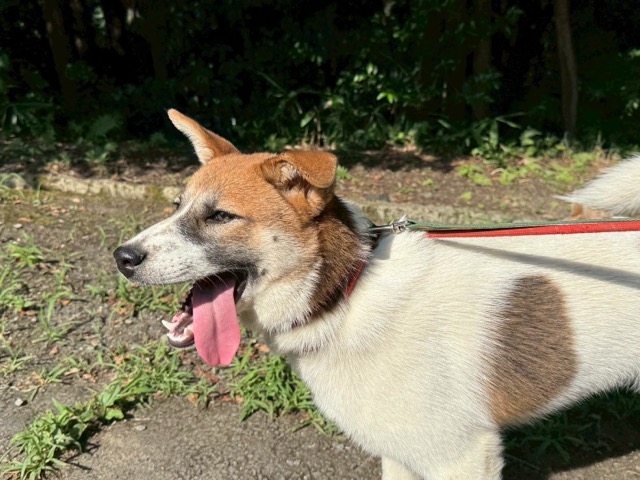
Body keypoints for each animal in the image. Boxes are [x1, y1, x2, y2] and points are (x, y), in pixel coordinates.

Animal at [114, 110, 640, 479]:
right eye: (175, 206)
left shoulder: (461, 455)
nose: (122, 256)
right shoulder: (402, 453)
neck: (349, 294)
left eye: (220, 216)